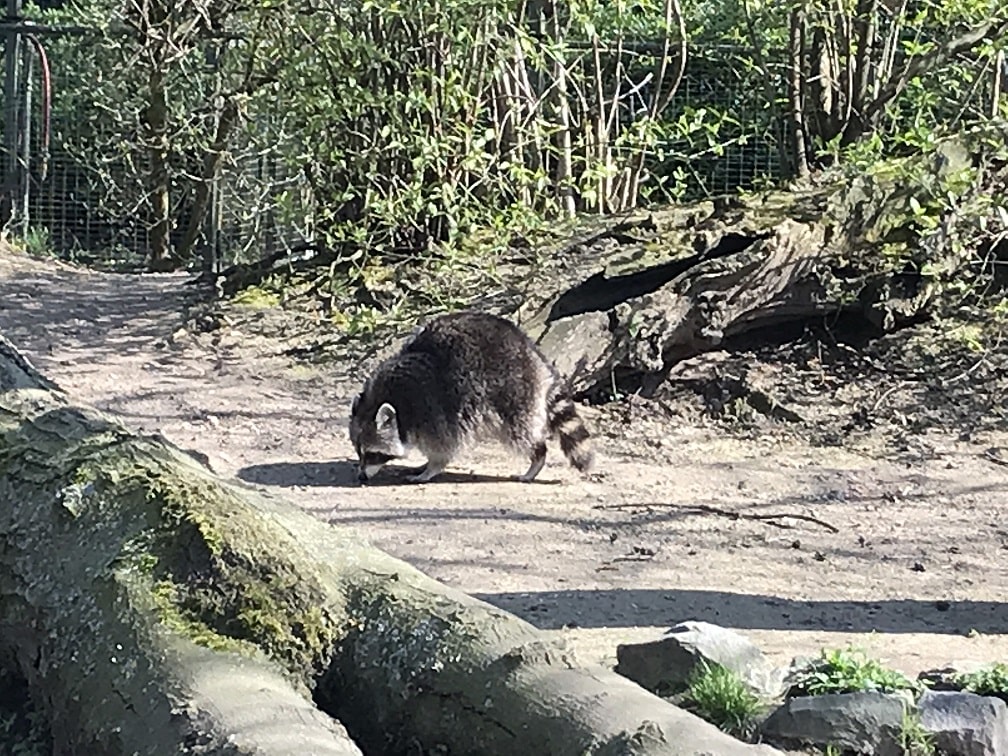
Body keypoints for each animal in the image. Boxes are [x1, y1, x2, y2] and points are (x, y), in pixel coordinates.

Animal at [350, 308, 592, 481]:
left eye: (373, 454)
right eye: (359, 452)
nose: (361, 477)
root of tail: (532, 352)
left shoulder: (430, 406)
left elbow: (443, 445)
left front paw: (431, 468)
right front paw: (424, 464)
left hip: (511, 391)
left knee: (521, 434)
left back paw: (537, 458)